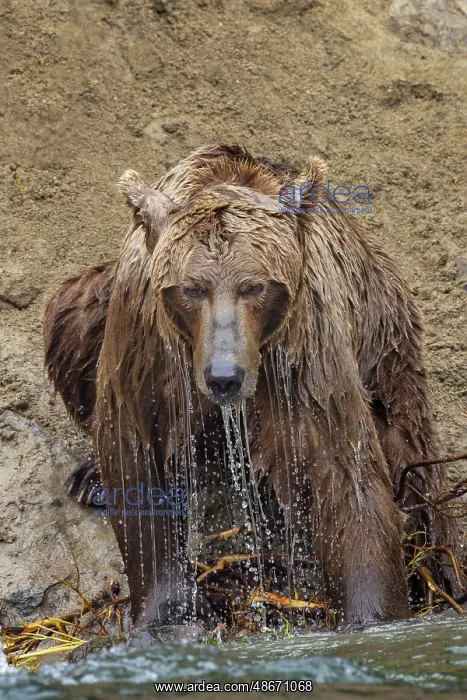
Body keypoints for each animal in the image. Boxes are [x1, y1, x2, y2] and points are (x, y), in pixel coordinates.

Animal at [44, 143, 459, 627]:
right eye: (192, 288)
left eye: (255, 287)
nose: (224, 376)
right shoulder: (144, 342)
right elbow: (134, 452)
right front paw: (169, 613)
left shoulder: (303, 347)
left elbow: (343, 471)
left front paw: (372, 614)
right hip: (99, 301)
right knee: (72, 312)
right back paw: (88, 480)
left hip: (386, 346)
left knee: (413, 456)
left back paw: (442, 568)